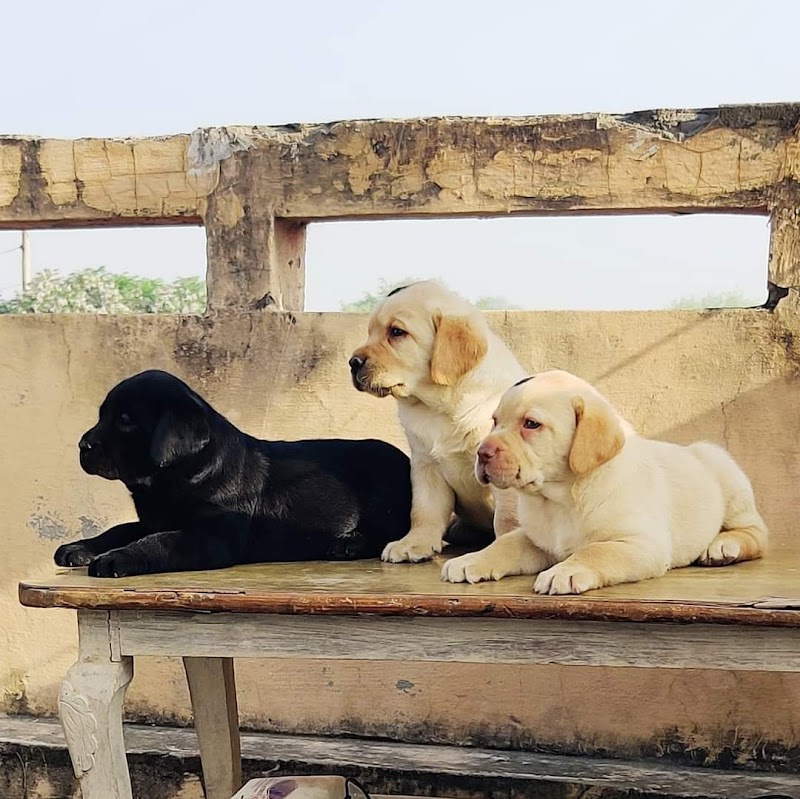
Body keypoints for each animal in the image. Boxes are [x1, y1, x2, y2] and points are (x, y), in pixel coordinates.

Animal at [54, 370, 412, 577]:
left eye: (126, 420)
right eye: (103, 415)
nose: (82, 445)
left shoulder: (213, 535)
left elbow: (160, 540)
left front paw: (117, 558)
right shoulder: (153, 520)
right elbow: (121, 529)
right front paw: (80, 547)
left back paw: (348, 545)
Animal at [349, 280, 527, 563]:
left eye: (396, 332)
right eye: (370, 332)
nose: (352, 363)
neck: (439, 406)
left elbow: (508, 519)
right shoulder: (425, 464)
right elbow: (424, 510)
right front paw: (414, 543)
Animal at [442, 370, 768, 594]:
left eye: (531, 424)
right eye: (495, 421)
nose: (482, 453)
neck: (559, 499)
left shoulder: (641, 544)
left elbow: (596, 550)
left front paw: (567, 570)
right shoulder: (536, 540)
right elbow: (505, 544)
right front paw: (471, 559)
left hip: (727, 476)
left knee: (757, 532)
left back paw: (723, 546)